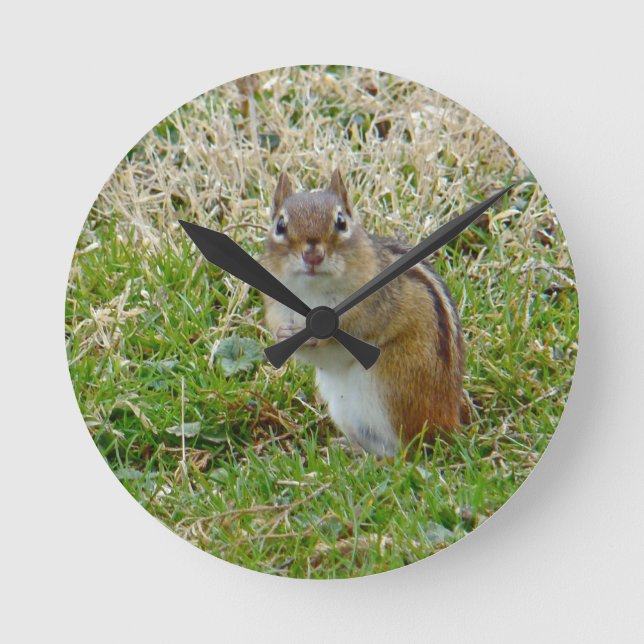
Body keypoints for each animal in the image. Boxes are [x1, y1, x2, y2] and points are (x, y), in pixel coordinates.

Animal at [261, 169, 465, 457]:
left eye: (341, 222)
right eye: (280, 225)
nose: (312, 256)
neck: (312, 292)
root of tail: (448, 422)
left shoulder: (374, 305)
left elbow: (354, 327)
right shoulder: (277, 308)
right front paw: (283, 334)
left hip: (392, 386)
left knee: (404, 454)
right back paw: (349, 449)